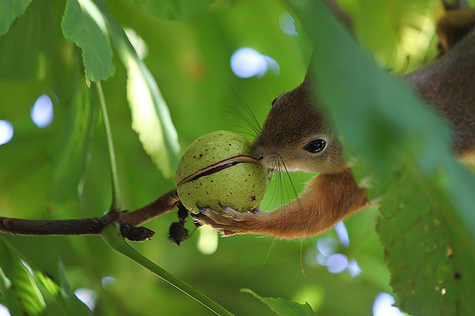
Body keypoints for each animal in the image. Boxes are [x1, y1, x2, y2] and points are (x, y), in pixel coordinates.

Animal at [193, 6, 475, 237]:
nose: (256, 151)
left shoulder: (371, 179)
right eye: (276, 100)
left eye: (316, 145)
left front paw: (242, 222)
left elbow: (316, 216)